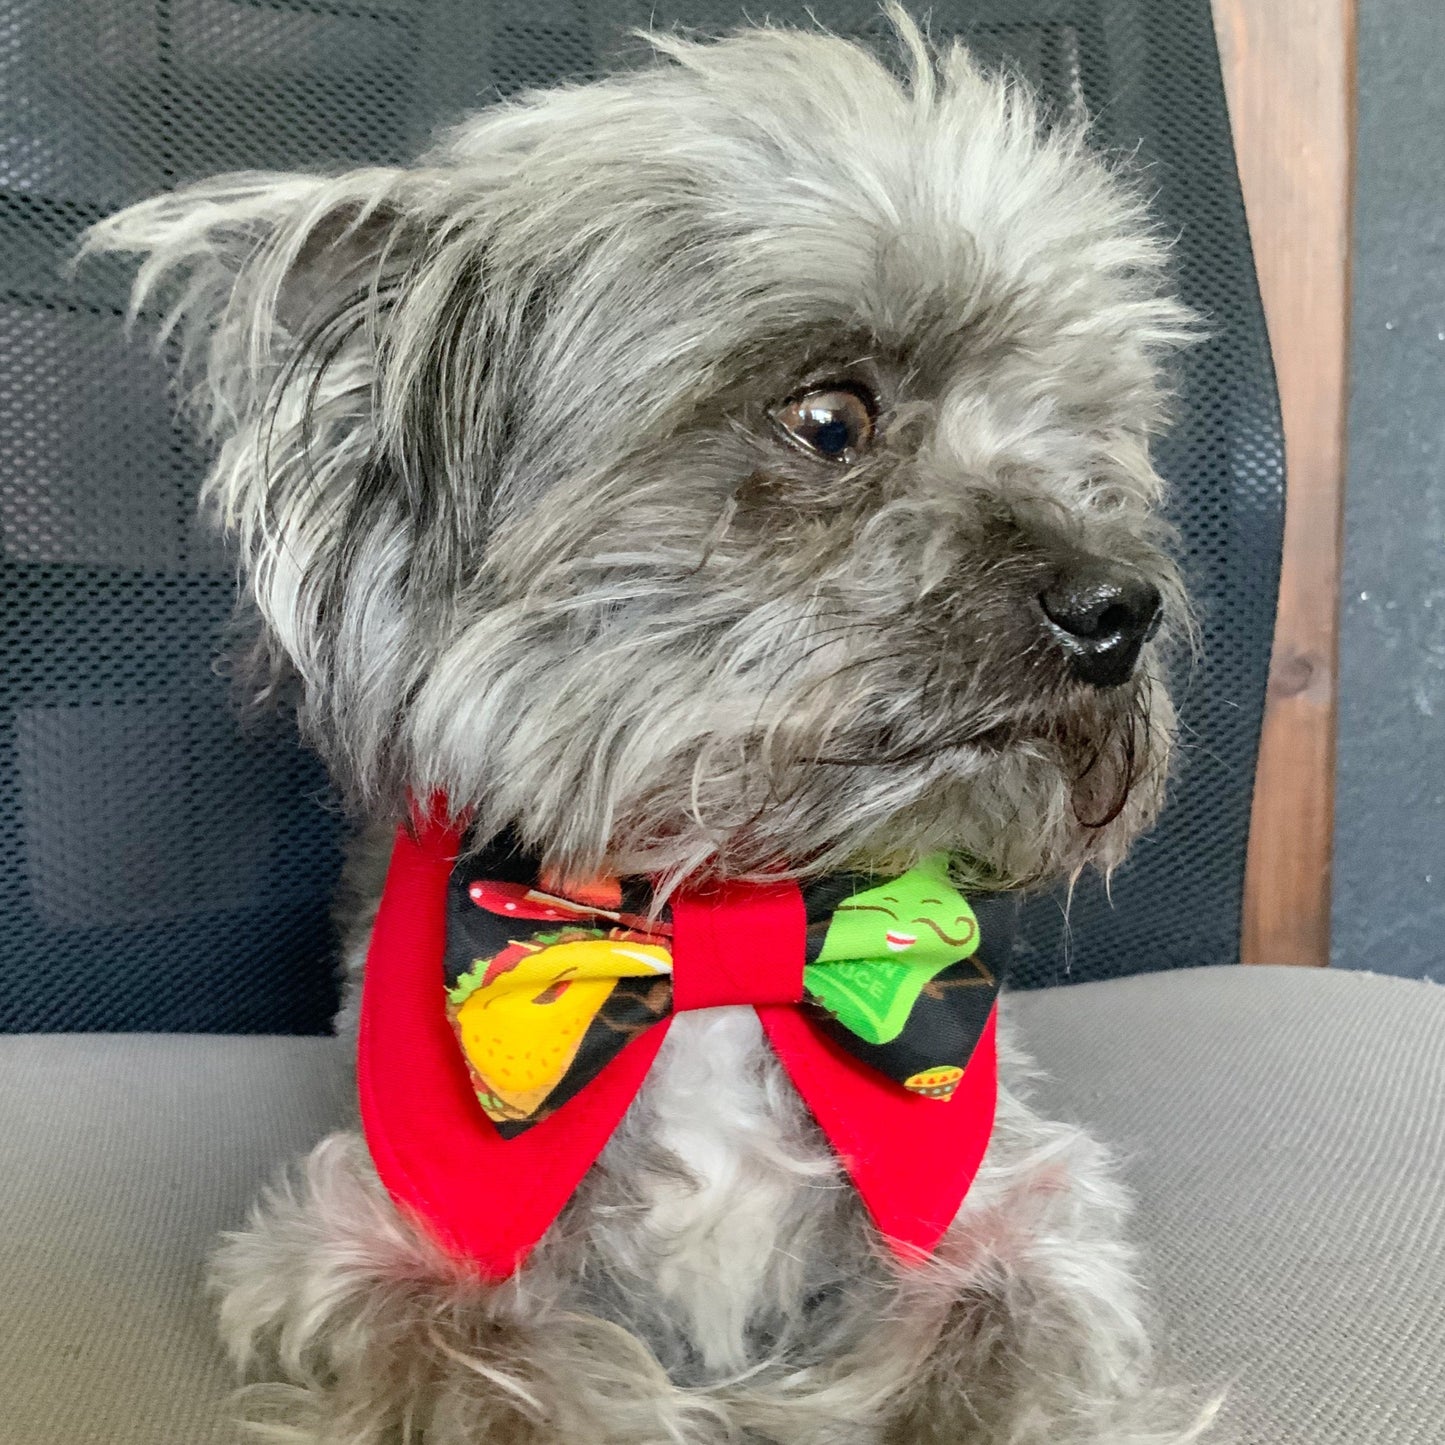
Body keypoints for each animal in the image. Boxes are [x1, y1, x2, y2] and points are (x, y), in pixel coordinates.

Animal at [82, 11, 1208, 1445]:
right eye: (829, 416)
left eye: (1093, 438)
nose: (1119, 608)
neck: (728, 934)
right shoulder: (370, 1241)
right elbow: (482, 1376)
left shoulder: (1012, 1212)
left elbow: (1002, 1356)